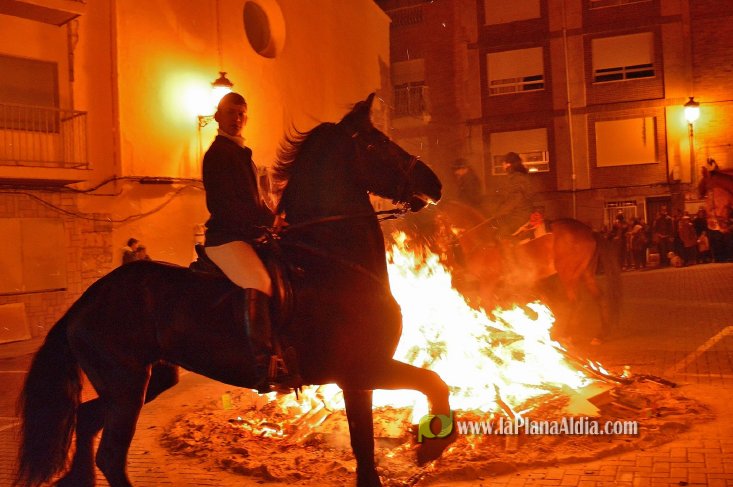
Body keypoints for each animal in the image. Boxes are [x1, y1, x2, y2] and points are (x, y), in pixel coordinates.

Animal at [15, 94, 452, 487]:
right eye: (379, 141)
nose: (434, 183)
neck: (331, 260)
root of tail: (84, 302)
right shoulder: (362, 368)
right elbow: (433, 383)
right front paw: (431, 446)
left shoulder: (359, 376)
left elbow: (371, 444)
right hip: (126, 387)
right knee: (109, 455)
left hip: (146, 380)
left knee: (86, 420)